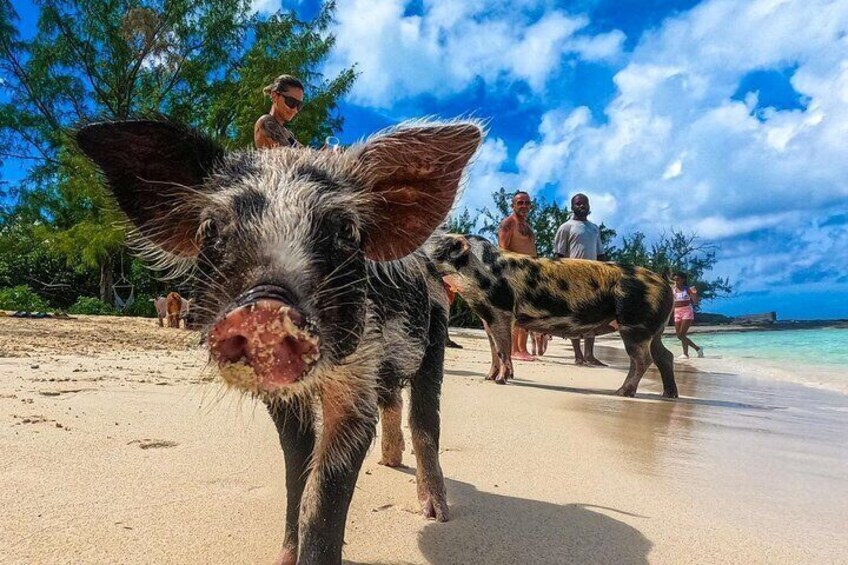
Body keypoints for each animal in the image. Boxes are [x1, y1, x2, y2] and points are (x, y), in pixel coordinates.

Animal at [76, 120, 486, 564]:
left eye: (344, 230)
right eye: (212, 228)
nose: (266, 307)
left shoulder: (356, 381)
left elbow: (324, 499)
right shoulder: (286, 400)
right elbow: (296, 475)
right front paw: (283, 558)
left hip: (436, 335)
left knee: (425, 419)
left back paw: (436, 513)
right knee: (393, 400)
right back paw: (390, 462)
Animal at [428, 234, 680, 396]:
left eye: (432, 240)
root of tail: (664, 282)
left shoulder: (501, 310)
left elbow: (502, 348)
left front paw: (500, 381)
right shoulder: (485, 316)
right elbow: (493, 349)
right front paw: (488, 378)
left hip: (635, 323)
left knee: (643, 359)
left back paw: (622, 393)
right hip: (654, 329)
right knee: (665, 355)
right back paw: (669, 395)